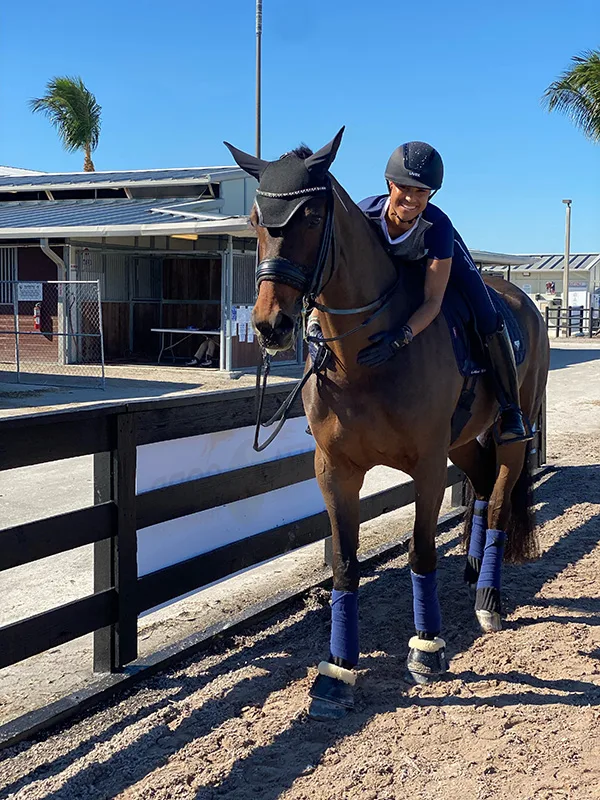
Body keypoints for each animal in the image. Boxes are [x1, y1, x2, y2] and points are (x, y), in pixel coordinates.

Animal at [225, 129, 549, 719]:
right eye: (257, 219)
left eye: (311, 217)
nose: (270, 325)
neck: (362, 361)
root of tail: (522, 301)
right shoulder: (335, 470)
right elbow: (345, 565)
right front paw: (337, 671)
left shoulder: (425, 467)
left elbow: (421, 551)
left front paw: (427, 649)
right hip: (462, 443)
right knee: (480, 484)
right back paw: (472, 573)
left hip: (511, 433)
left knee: (495, 503)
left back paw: (488, 599)